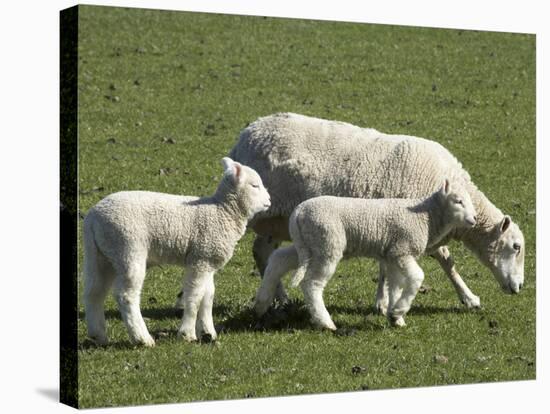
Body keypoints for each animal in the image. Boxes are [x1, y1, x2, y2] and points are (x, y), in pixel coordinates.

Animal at [83, 158, 272, 346]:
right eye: (255, 186)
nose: (269, 200)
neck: (222, 211)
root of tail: (93, 217)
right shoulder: (200, 260)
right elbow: (194, 296)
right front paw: (187, 333)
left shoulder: (207, 259)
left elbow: (208, 297)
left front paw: (208, 332)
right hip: (127, 248)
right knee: (126, 295)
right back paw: (142, 338)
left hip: (100, 254)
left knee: (94, 292)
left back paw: (98, 336)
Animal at [227, 111, 528, 312]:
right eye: (516, 247)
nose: (520, 287)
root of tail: (246, 135)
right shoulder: (405, 222)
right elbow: (445, 261)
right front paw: (468, 297)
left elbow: (426, 261)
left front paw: (385, 301)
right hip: (259, 209)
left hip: (277, 219)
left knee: (263, 250)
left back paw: (279, 298)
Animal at [258, 179, 478, 330]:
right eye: (458, 201)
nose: (474, 219)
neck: (427, 217)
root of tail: (298, 213)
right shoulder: (403, 250)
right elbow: (417, 277)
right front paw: (400, 309)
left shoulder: (392, 254)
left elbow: (395, 286)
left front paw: (395, 317)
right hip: (327, 242)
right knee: (311, 284)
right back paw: (325, 322)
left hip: (308, 244)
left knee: (278, 259)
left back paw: (261, 303)